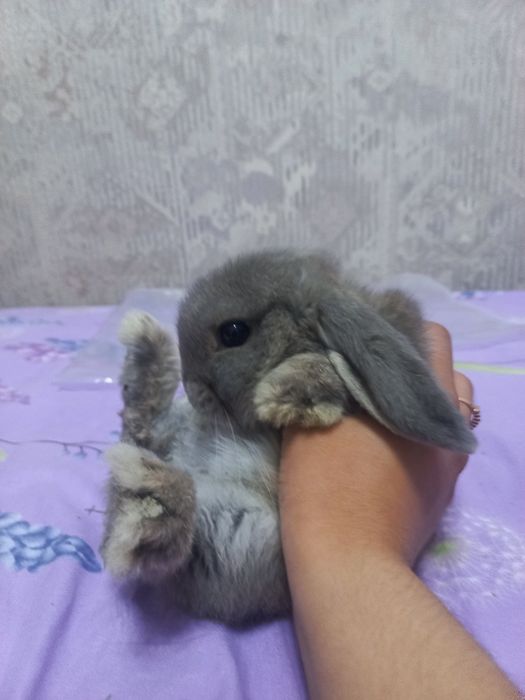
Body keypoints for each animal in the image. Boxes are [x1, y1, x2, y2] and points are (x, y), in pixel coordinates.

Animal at [101, 249, 476, 624]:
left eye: (233, 332)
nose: (192, 392)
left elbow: (329, 373)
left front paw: (283, 393)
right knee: (142, 428)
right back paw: (146, 350)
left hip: (240, 542)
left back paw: (152, 500)